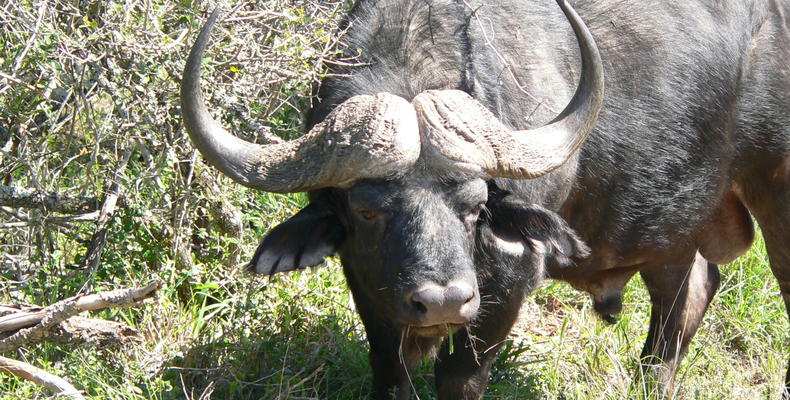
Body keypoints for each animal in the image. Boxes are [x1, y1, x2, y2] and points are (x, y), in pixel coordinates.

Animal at [181, 0, 790, 398]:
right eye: (367, 210)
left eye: (475, 207)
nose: (444, 302)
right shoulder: (370, 283)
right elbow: (390, 370)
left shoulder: (508, 282)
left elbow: (460, 376)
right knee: (686, 293)